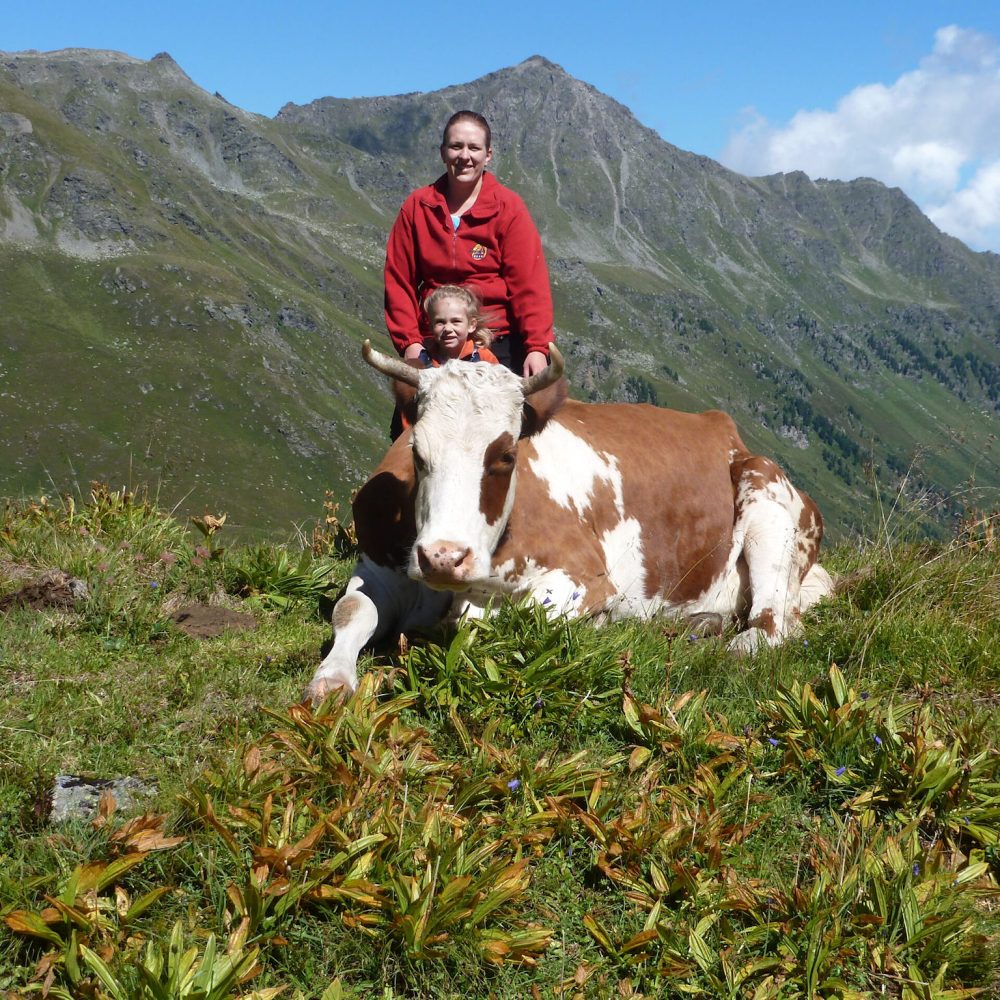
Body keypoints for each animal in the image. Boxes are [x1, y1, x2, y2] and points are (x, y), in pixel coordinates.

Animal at [300, 344, 832, 704]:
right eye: (417, 450)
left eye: (507, 454)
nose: (443, 558)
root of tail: (724, 430)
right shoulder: (377, 564)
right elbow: (351, 611)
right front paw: (330, 679)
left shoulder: (584, 575)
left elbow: (487, 621)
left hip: (766, 500)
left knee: (773, 622)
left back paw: (733, 636)